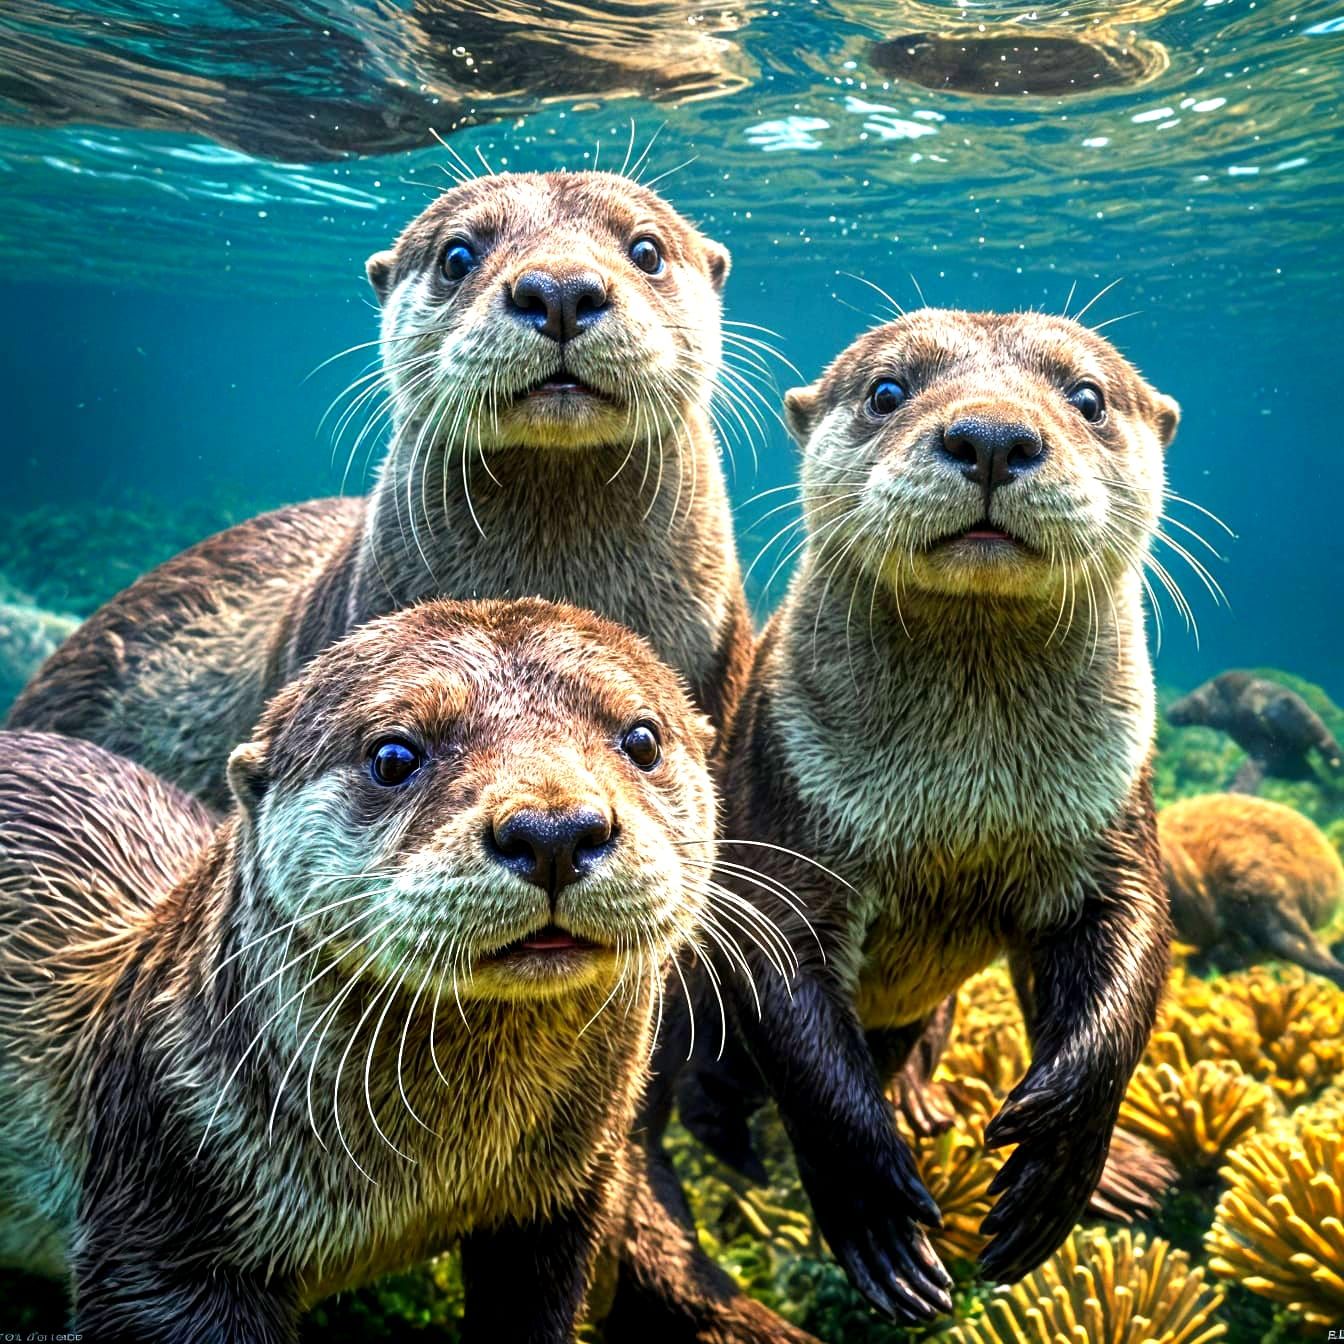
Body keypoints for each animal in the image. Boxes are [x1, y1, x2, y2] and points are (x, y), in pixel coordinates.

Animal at [0, 599, 812, 1344]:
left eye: (641, 739)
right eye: (393, 756)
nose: (554, 830)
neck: (415, 1191)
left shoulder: (563, 1202)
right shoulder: (161, 1234)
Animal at [688, 309, 1177, 1318]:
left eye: (1087, 397)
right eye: (887, 390)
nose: (991, 435)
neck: (960, 798)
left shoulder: (1117, 815)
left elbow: (1136, 947)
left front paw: (1065, 1158)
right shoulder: (786, 809)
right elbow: (796, 1025)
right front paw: (878, 1216)